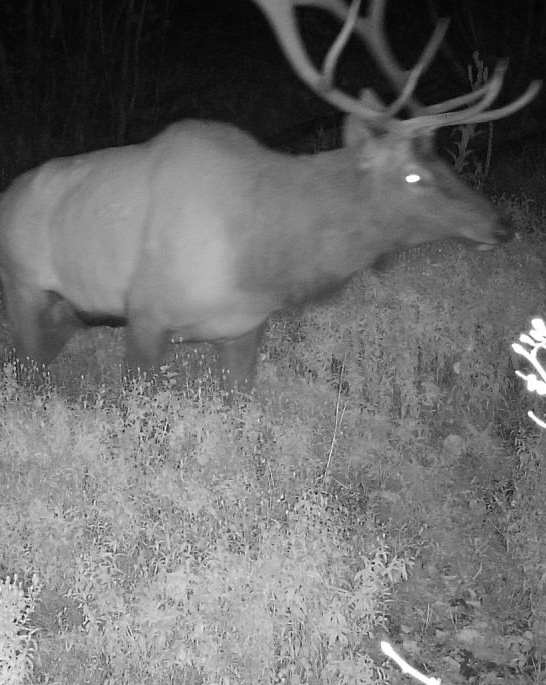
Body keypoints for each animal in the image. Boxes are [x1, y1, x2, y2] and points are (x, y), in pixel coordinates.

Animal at [0, 0, 540, 399]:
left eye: (445, 162)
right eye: (413, 176)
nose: (501, 225)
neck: (265, 260)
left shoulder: (243, 329)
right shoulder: (146, 315)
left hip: (69, 311)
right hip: (24, 288)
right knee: (28, 374)